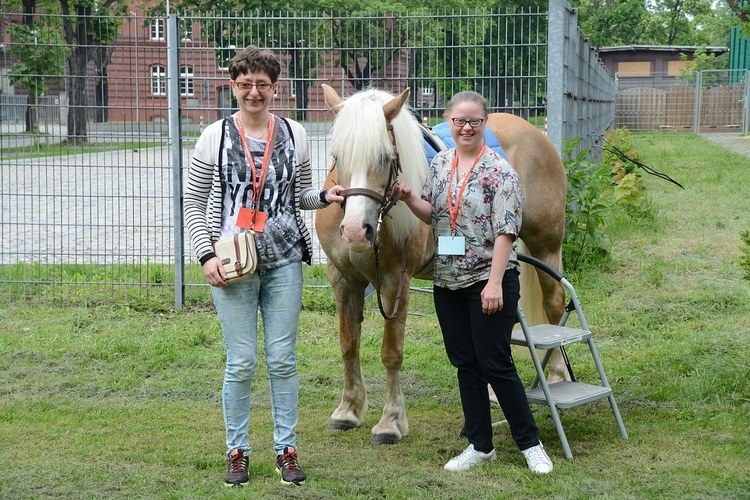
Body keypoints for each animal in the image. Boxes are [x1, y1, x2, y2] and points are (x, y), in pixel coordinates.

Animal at [314, 86, 568, 446]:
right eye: (338, 156)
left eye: (386, 158)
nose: (354, 231)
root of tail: (536, 134)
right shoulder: (342, 279)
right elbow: (349, 345)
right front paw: (347, 411)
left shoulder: (395, 283)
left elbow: (391, 352)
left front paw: (390, 423)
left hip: (546, 248)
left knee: (554, 303)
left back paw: (559, 375)